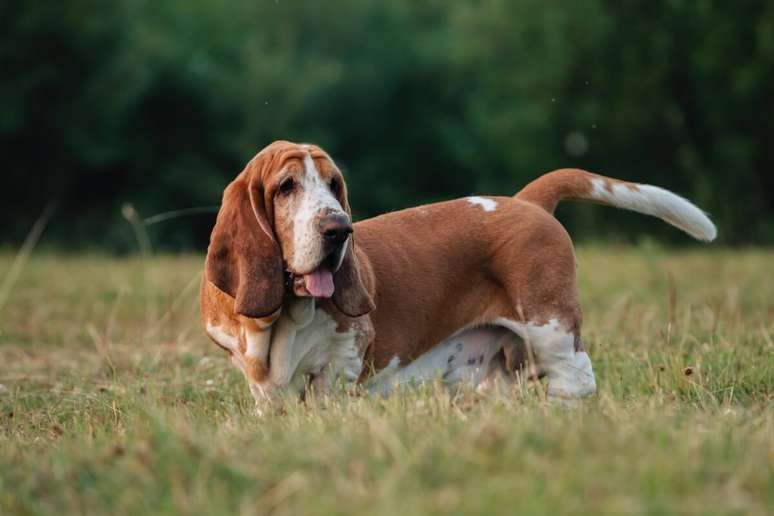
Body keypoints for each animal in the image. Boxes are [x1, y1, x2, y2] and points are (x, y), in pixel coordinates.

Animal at [199, 140, 716, 408]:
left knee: (577, 377)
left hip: (550, 326)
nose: (338, 228)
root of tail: (526, 201)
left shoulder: (347, 352)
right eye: (285, 187)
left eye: (333, 185)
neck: (283, 317)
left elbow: (330, 381)